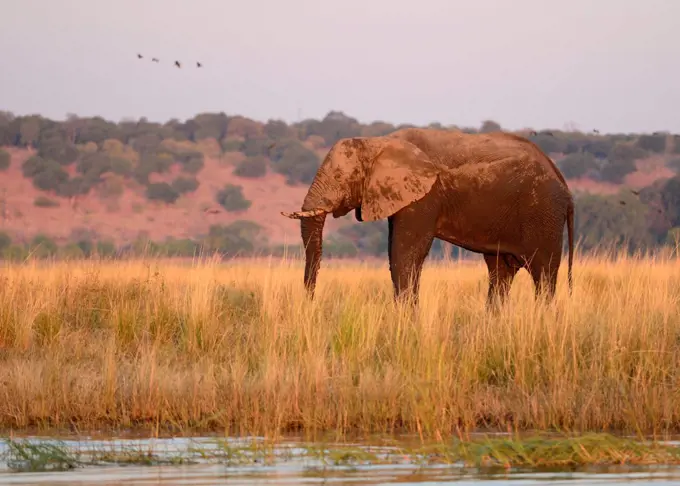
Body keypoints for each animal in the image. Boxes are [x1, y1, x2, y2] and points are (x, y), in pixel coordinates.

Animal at [282, 127, 572, 306]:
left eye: (340, 177)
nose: (310, 303)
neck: (379, 141)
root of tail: (564, 185)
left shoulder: (425, 196)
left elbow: (405, 254)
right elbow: (397, 256)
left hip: (543, 213)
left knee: (544, 274)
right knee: (500, 273)